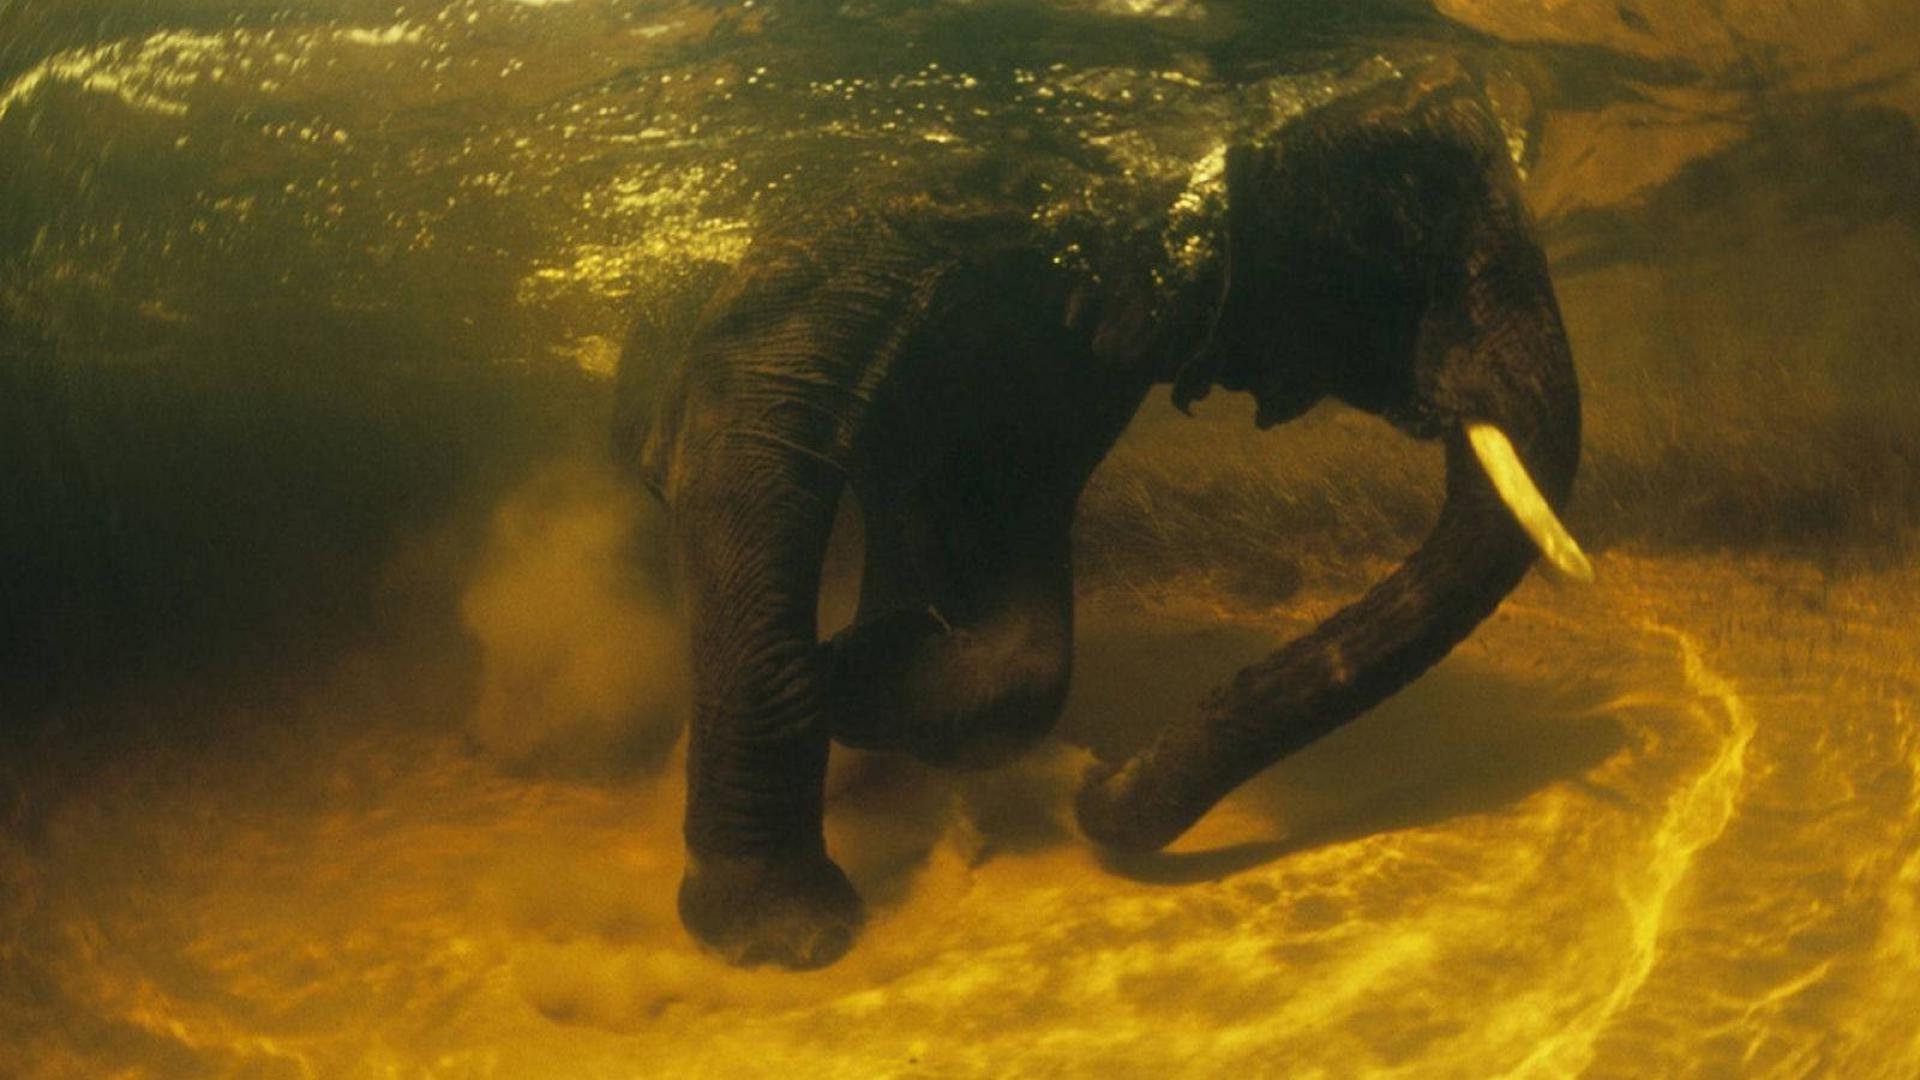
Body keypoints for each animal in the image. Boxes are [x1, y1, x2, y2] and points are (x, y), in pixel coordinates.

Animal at [613, 15, 1590, 969]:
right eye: (1403, 219)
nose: (1094, 785)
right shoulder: (889, 206)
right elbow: (749, 438)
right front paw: (791, 937)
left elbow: (1013, 512)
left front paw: (870, 668)